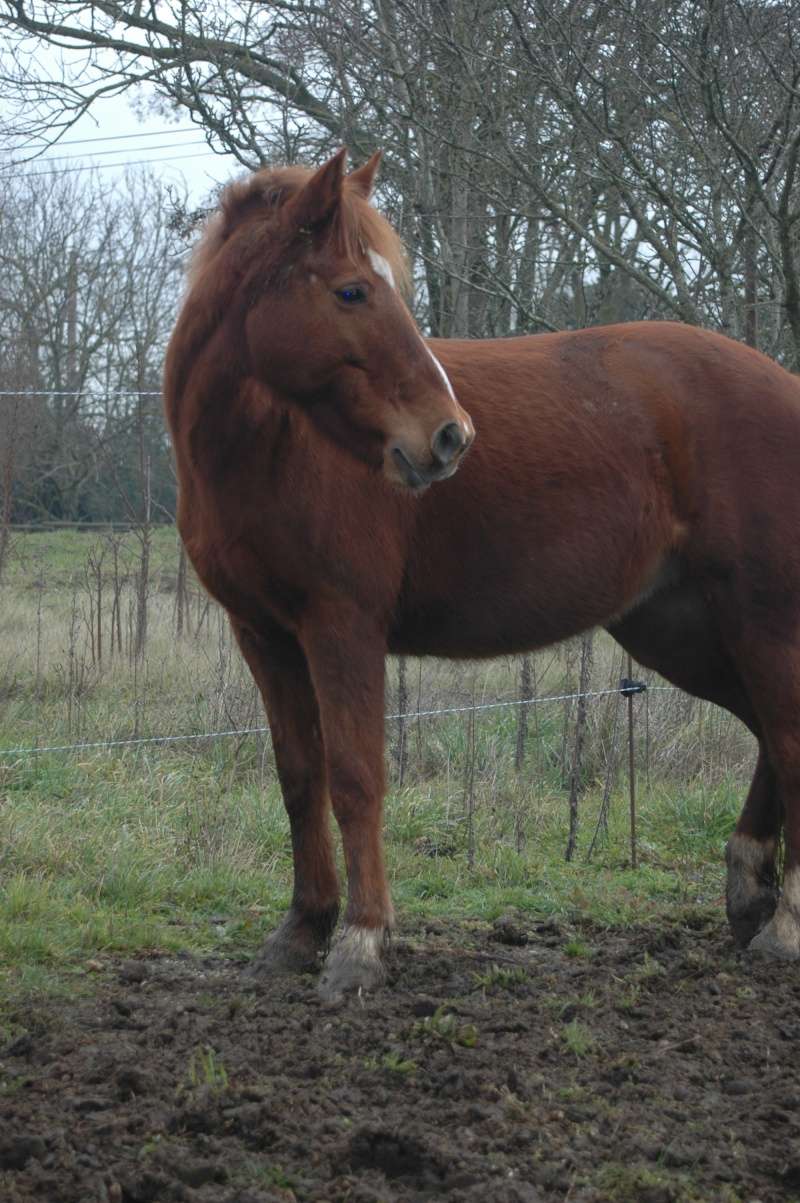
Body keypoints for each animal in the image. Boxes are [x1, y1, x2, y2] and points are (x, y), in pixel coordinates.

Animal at [164, 145, 798, 1000]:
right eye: (352, 290)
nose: (448, 436)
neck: (272, 446)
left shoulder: (341, 626)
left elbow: (356, 777)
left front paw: (361, 942)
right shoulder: (262, 633)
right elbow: (300, 777)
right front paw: (300, 932)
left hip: (761, 618)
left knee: (788, 736)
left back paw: (784, 924)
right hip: (681, 629)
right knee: (769, 731)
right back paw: (748, 891)